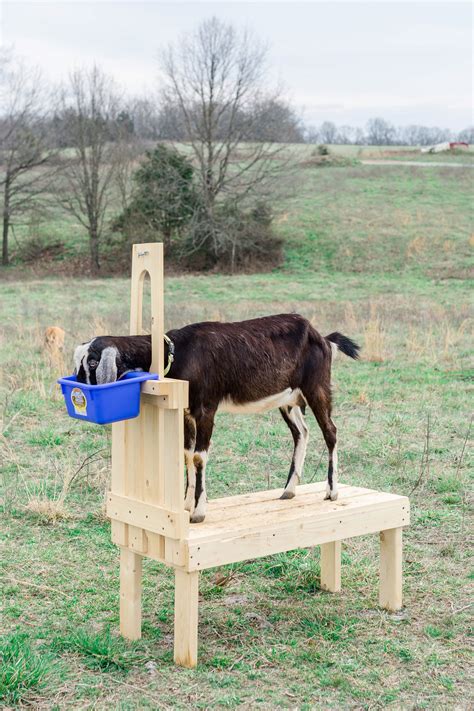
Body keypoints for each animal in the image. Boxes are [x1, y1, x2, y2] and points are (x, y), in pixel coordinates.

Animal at [74, 316, 360, 524]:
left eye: (92, 361)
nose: (77, 390)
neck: (177, 352)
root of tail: (323, 338)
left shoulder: (206, 409)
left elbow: (199, 457)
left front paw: (198, 512)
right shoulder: (186, 413)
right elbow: (186, 455)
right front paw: (187, 504)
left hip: (317, 386)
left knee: (330, 431)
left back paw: (332, 491)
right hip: (288, 399)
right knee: (302, 432)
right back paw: (289, 490)